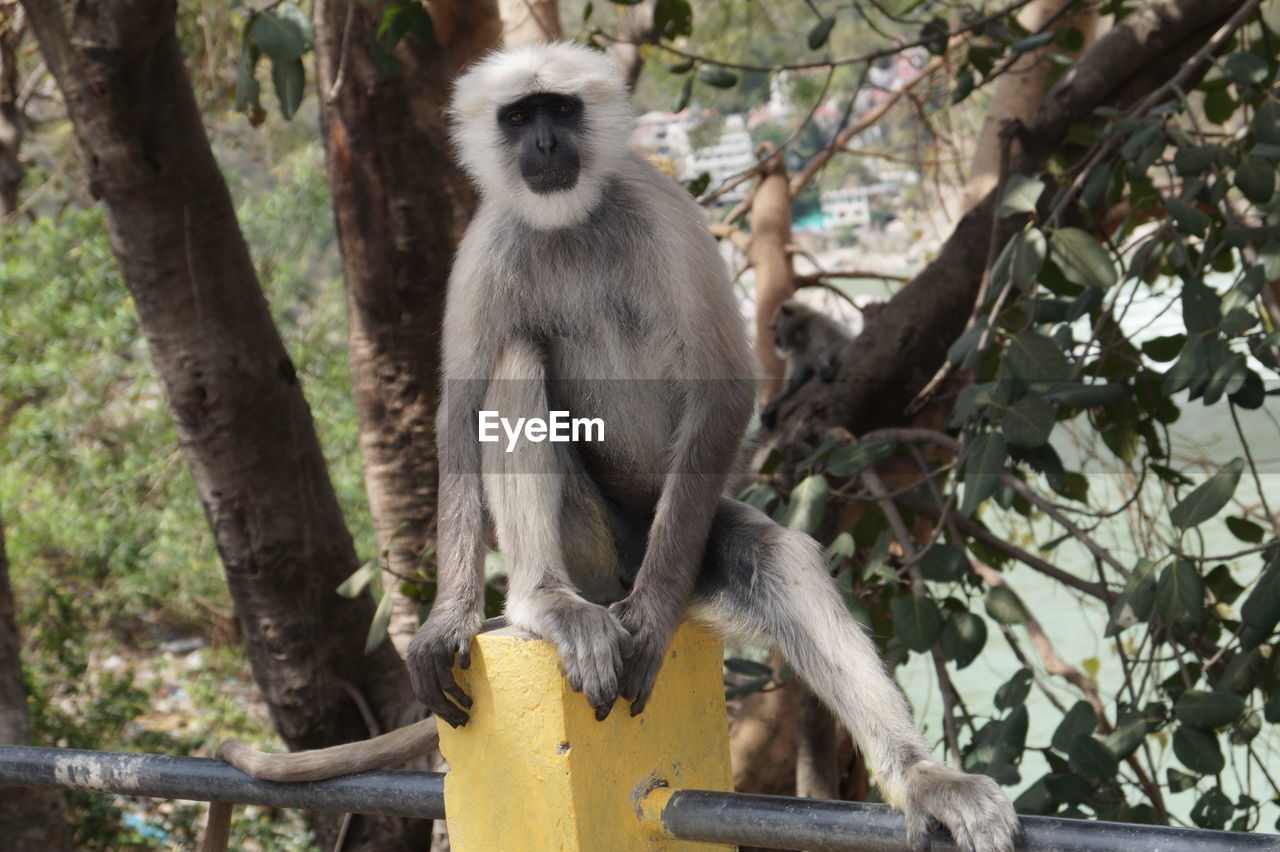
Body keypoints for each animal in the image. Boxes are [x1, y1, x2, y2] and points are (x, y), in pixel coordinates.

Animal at [752, 300, 855, 432]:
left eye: (775, 328)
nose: (775, 340)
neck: (802, 335)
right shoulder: (795, 351)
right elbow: (791, 387)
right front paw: (772, 406)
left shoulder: (818, 322)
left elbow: (845, 341)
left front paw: (821, 365)